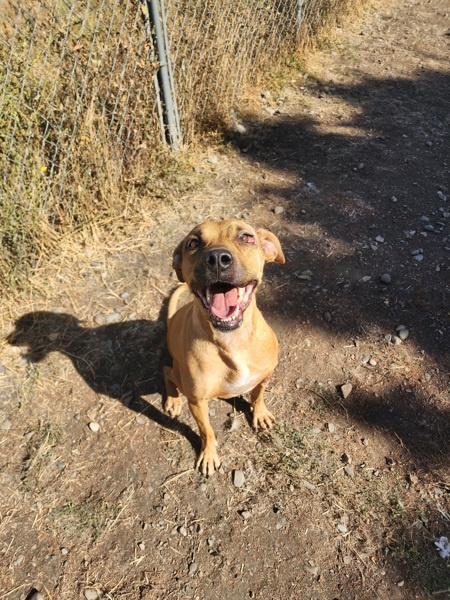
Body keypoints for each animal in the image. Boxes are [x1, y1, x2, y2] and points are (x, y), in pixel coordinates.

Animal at [164, 218, 284, 476]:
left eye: (246, 237)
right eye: (193, 243)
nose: (217, 258)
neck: (233, 340)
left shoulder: (265, 376)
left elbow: (258, 396)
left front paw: (260, 414)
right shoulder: (197, 402)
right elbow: (206, 431)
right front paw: (209, 455)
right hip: (178, 374)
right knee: (166, 371)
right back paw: (173, 400)